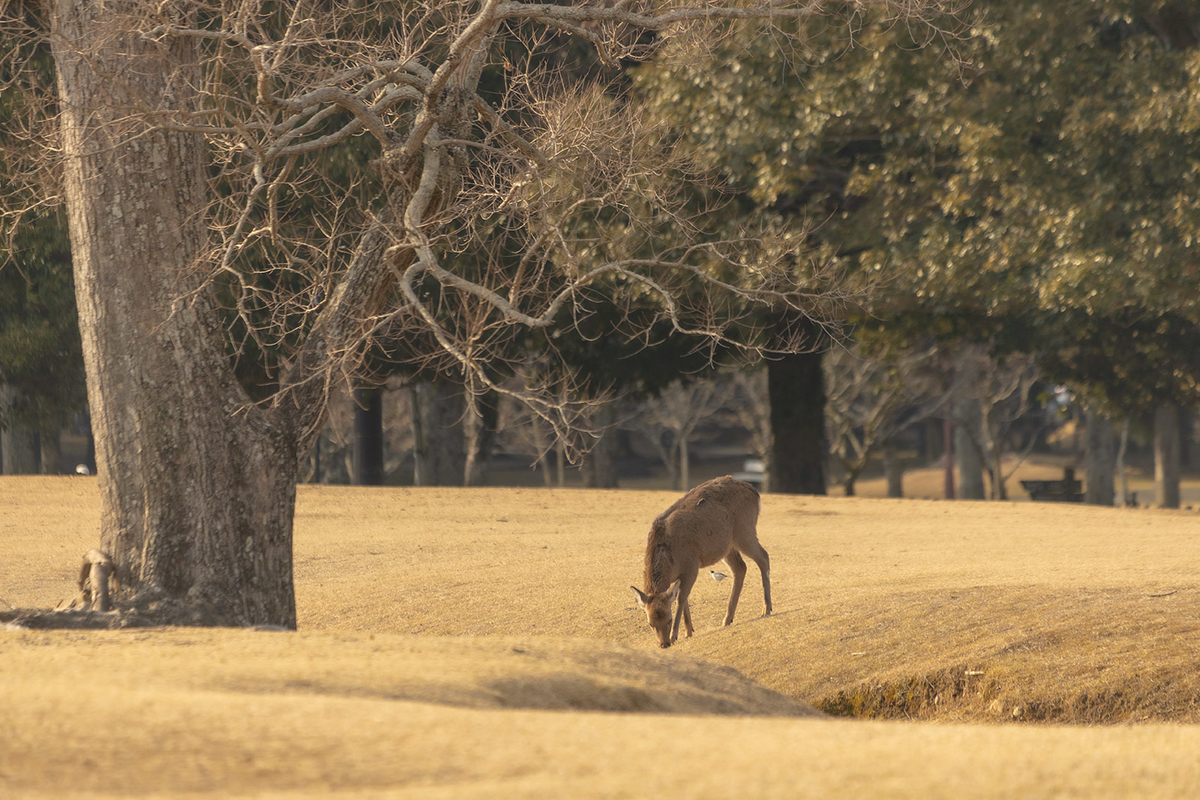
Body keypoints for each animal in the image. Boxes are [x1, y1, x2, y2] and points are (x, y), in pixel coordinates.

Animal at [633, 479, 772, 647]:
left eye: (669, 619)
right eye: (650, 623)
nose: (664, 644)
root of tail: (755, 492)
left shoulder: (692, 566)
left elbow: (681, 598)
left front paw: (675, 635)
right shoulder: (681, 575)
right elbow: (683, 597)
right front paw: (688, 631)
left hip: (745, 531)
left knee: (763, 557)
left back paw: (766, 609)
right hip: (727, 546)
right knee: (740, 567)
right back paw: (727, 619)